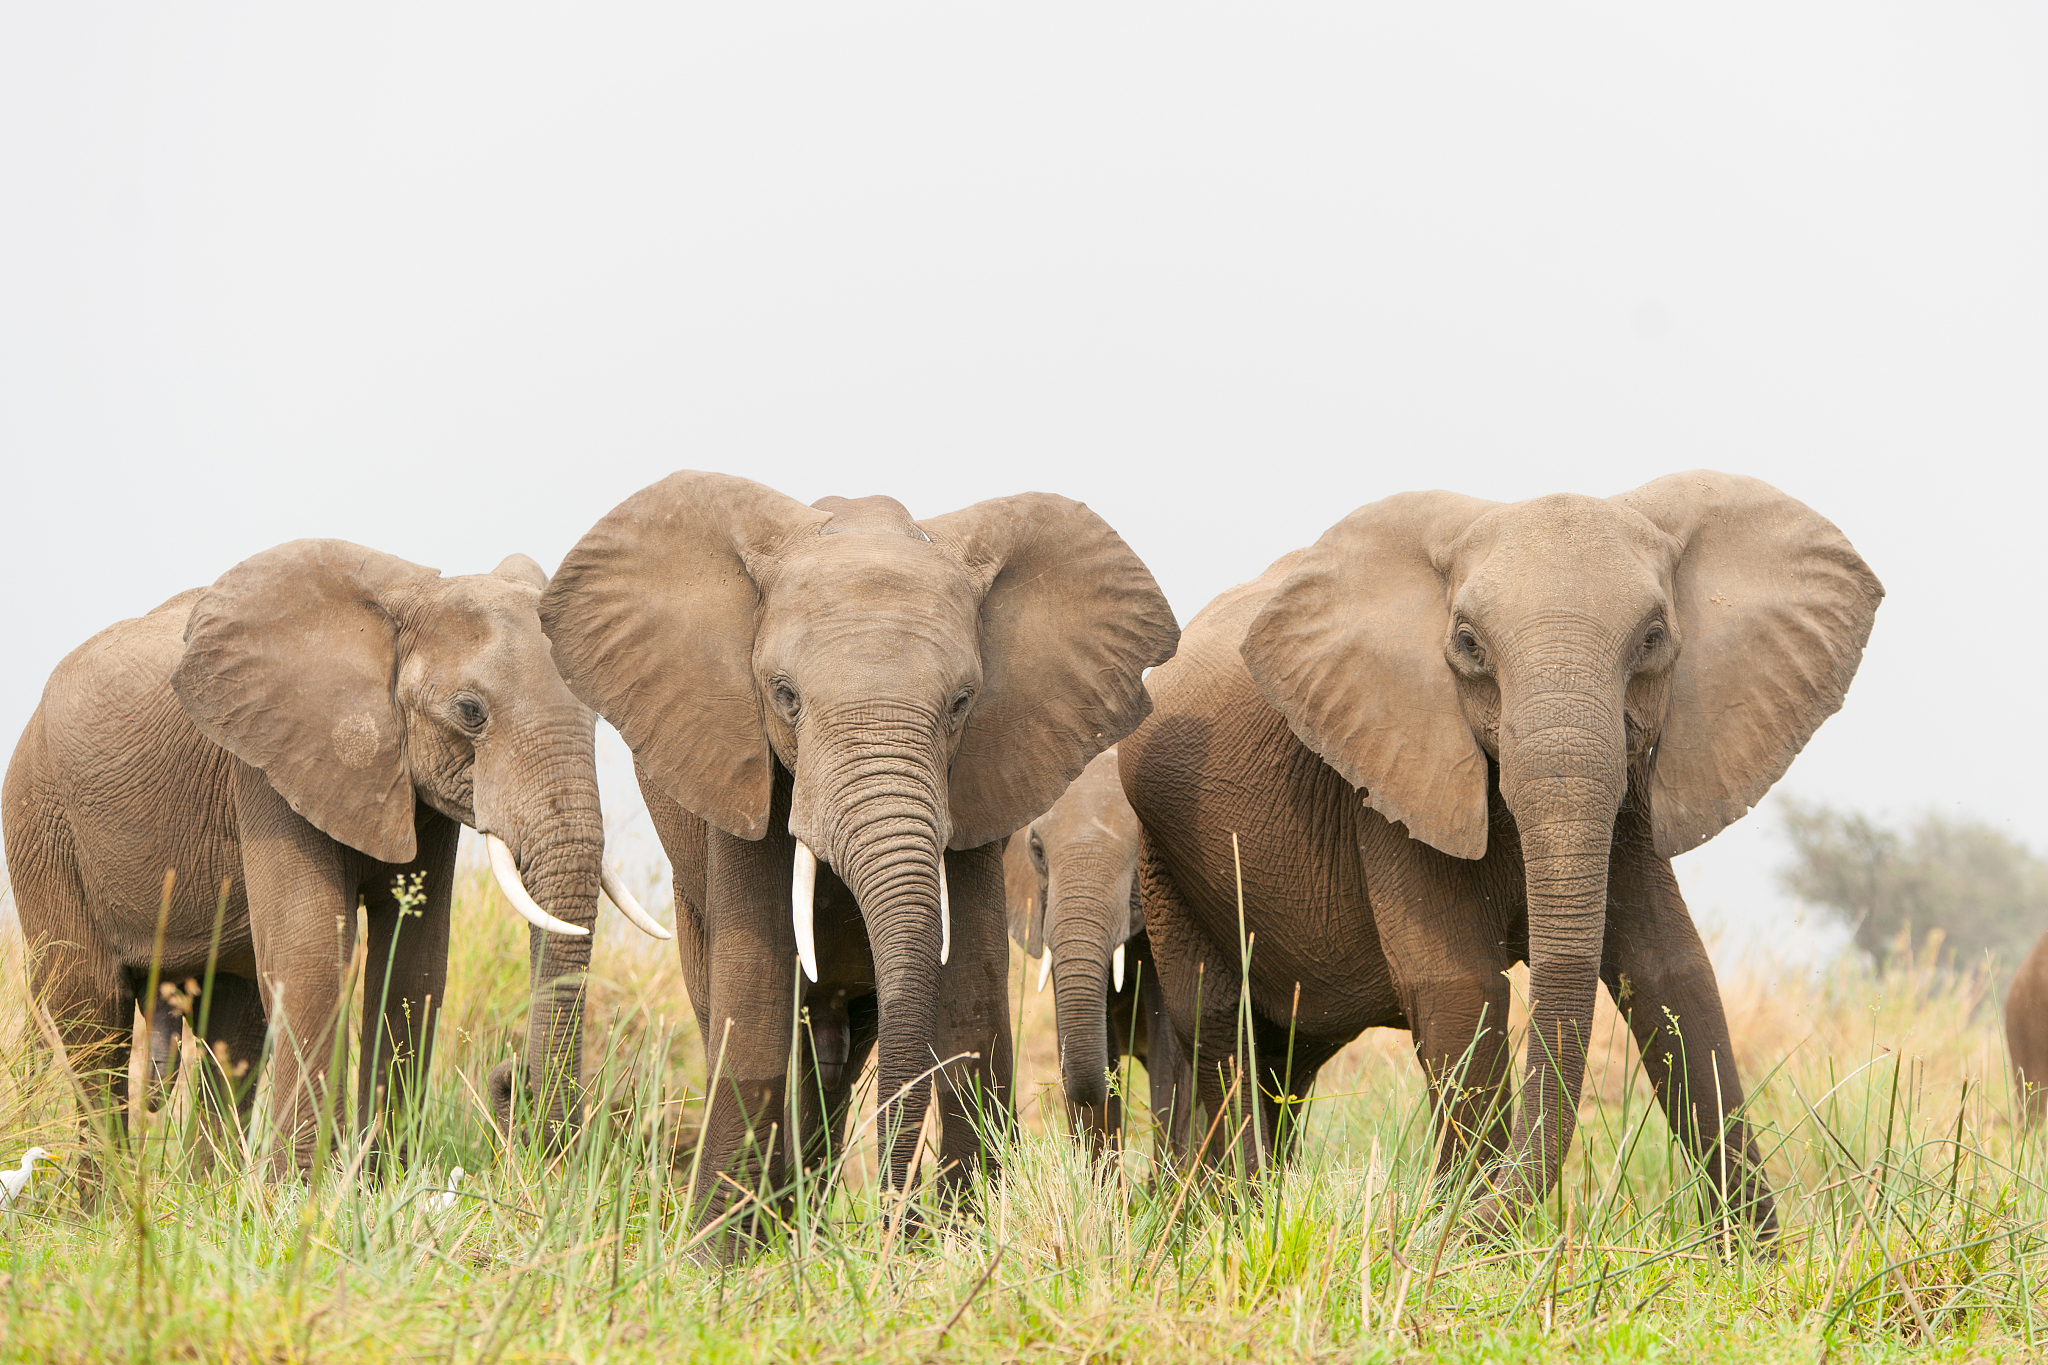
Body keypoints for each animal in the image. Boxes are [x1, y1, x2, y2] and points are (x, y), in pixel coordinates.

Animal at [3, 540, 666, 1178]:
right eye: (470, 711)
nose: (511, 1082)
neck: (405, 604)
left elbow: (416, 966)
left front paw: (381, 1183)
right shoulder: (267, 764)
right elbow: (313, 958)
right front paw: (308, 1192)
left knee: (232, 1026)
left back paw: (203, 1192)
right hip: (41, 821)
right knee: (91, 1012)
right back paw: (111, 1200)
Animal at [1121, 471, 1881, 1236]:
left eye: (1653, 638)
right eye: (1467, 643)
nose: (1408, 1224)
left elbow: (1672, 972)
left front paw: (1754, 1254)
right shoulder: (1391, 777)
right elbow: (1464, 988)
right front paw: (1467, 1244)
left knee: (1289, 1055)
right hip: (1161, 856)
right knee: (1217, 1019)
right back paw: (1231, 1215)